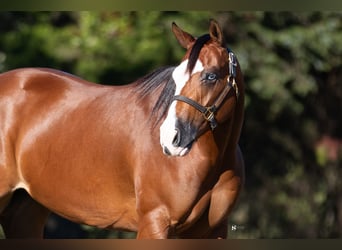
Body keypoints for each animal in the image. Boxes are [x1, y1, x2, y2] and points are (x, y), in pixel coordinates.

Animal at [0, 19, 246, 238]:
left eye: (211, 76)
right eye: (175, 76)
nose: (170, 139)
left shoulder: (212, 230)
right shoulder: (154, 222)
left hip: (26, 212)